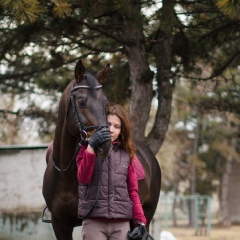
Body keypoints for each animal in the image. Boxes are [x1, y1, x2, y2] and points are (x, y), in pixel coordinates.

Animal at [42, 59, 162, 239]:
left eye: (106, 104)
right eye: (81, 101)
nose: (105, 145)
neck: (66, 174)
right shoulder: (60, 224)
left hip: (145, 215)